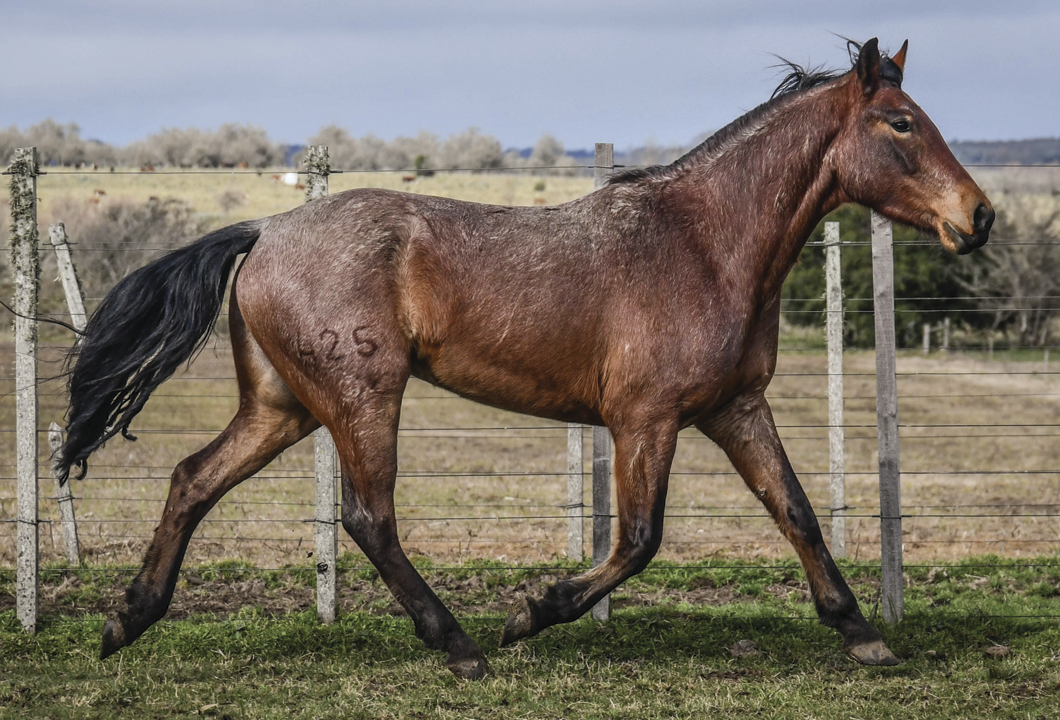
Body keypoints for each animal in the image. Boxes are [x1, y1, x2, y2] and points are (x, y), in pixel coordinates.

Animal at [60, 37, 992, 682]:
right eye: (901, 123)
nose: (979, 217)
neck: (703, 244)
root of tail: (264, 233)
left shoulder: (735, 409)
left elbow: (795, 511)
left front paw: (862, 634)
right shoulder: (645, 419)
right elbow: (639, 539)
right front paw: (532, 613)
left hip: (281, 408)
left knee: (193, 478)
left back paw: (126, 621)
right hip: (362, 398)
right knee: (368, 518)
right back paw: (461, 646)